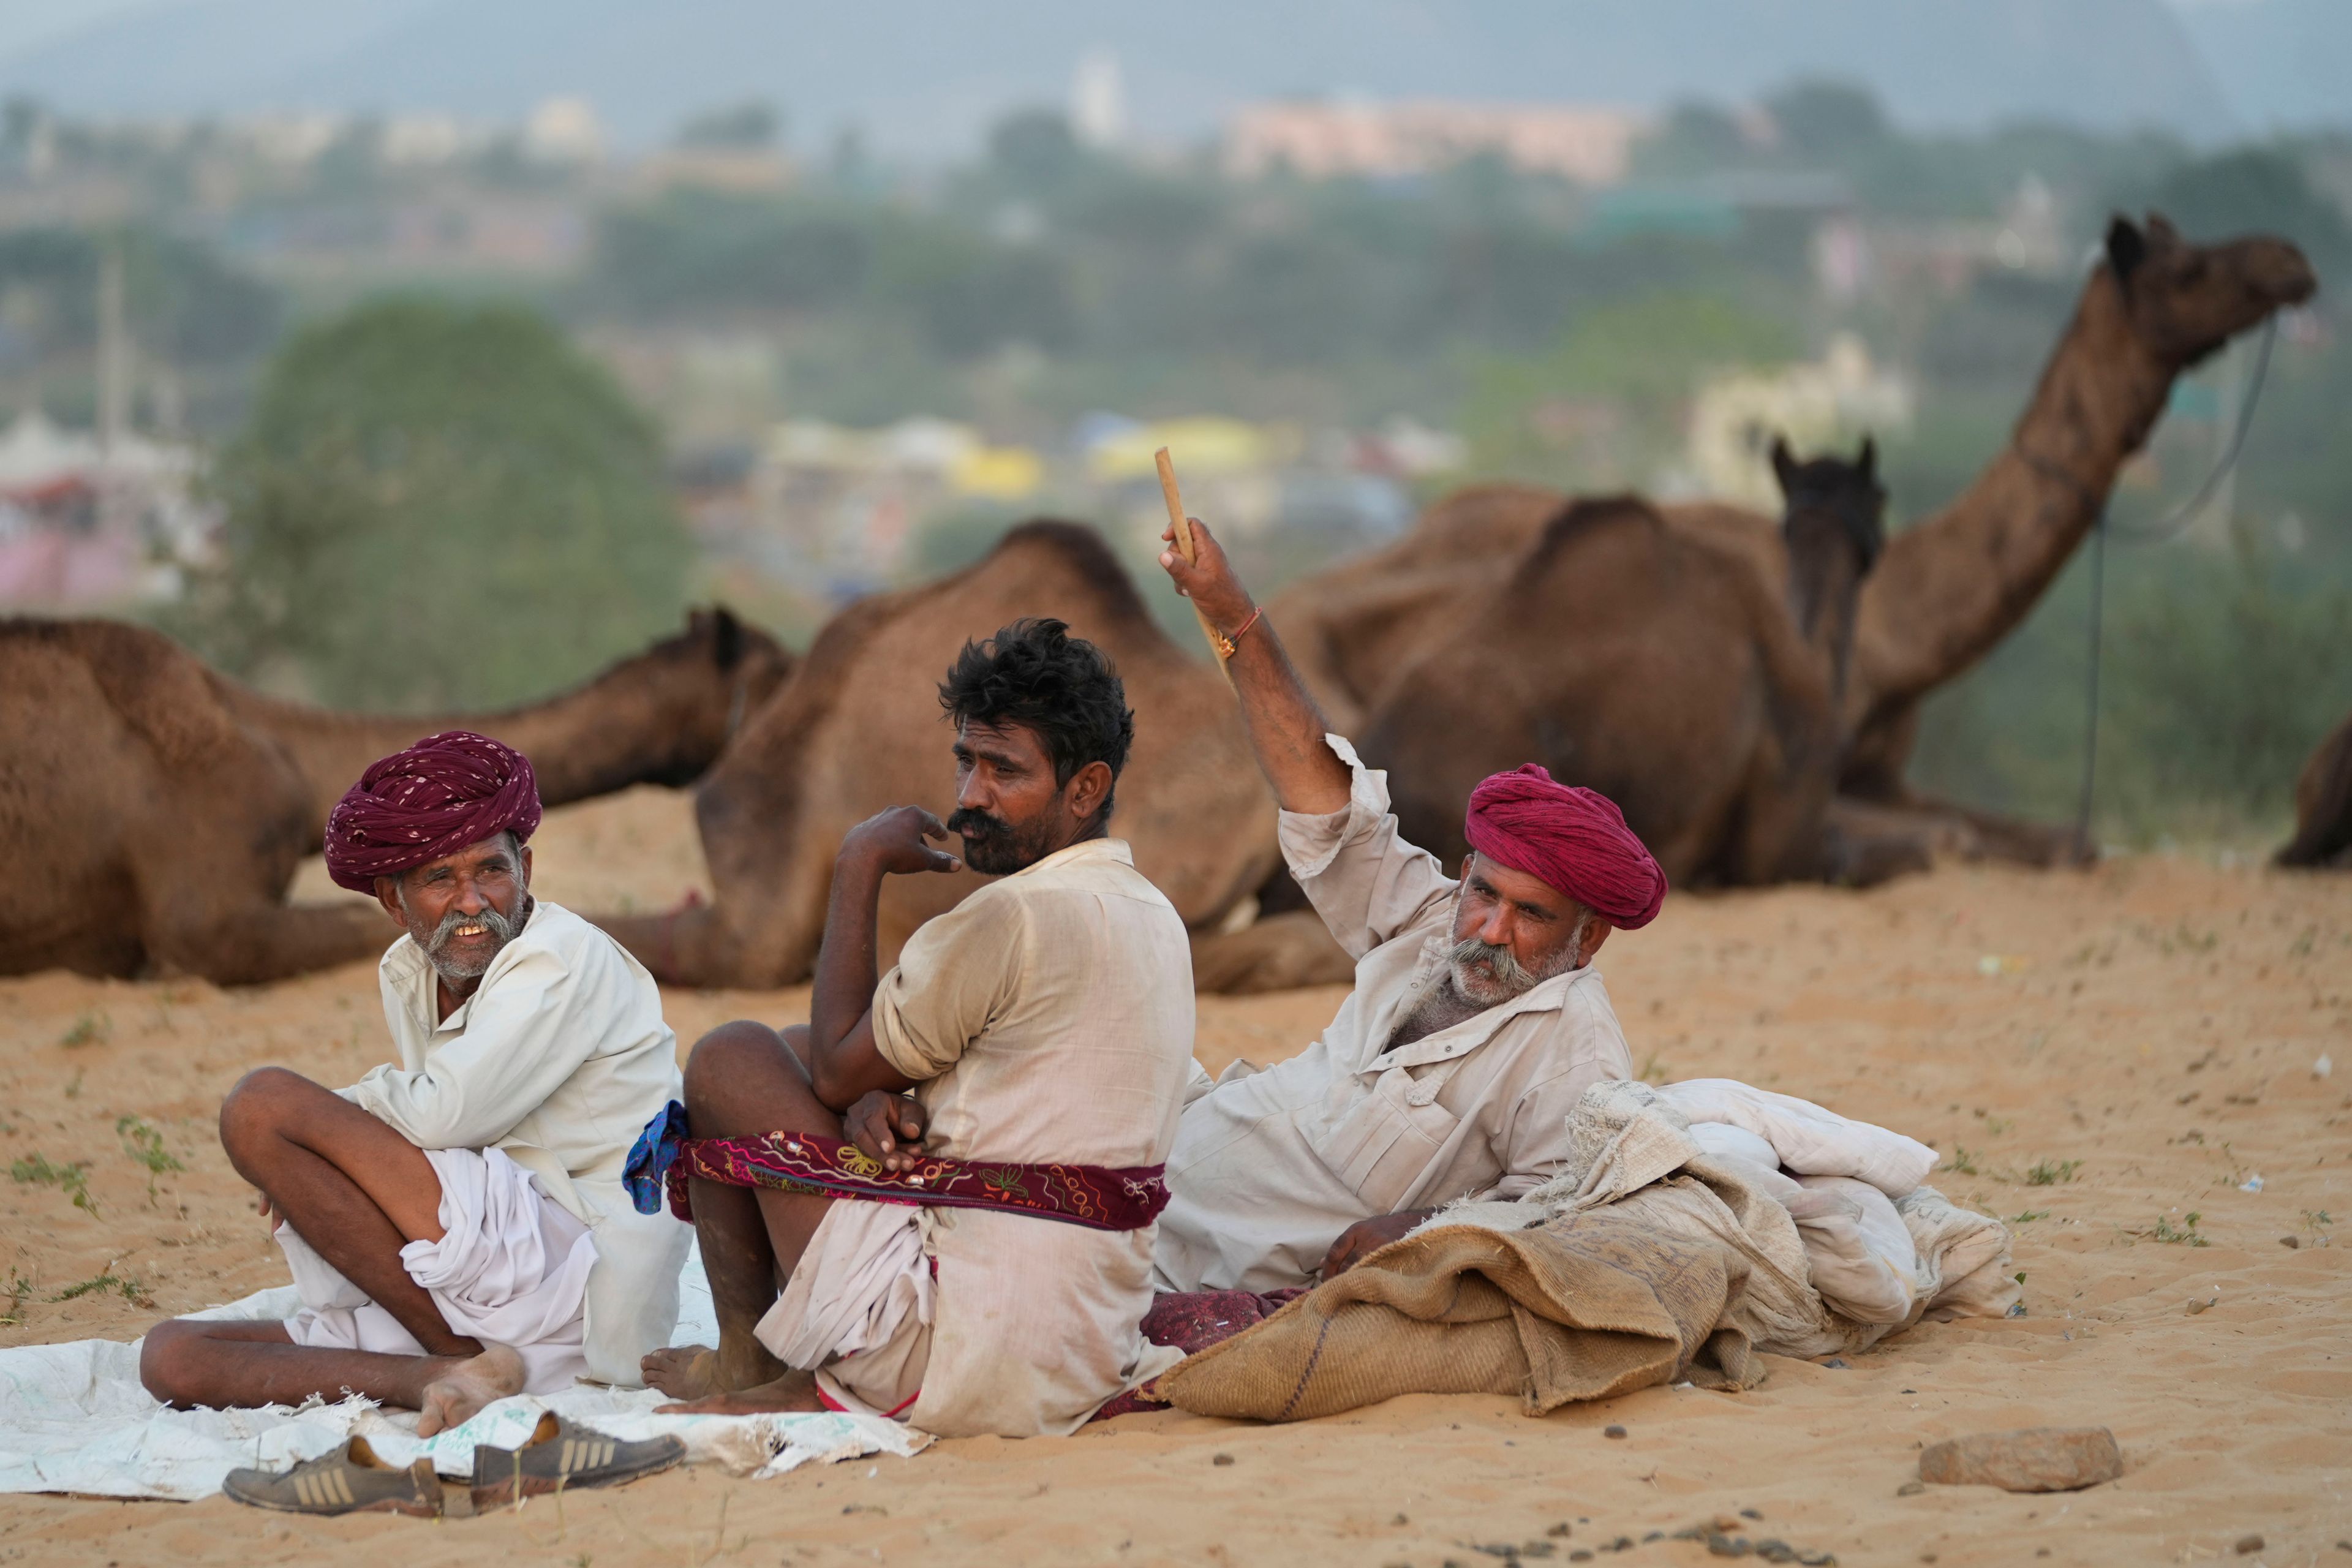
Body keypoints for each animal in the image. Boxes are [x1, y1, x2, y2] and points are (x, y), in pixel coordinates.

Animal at [1270, 217, 2314, 884]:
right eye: (2185, 269)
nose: (2292, 261)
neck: (1892, 632)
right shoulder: (1807, 807)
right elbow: (1953, 839)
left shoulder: (1879, 772)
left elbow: (2049, 834)